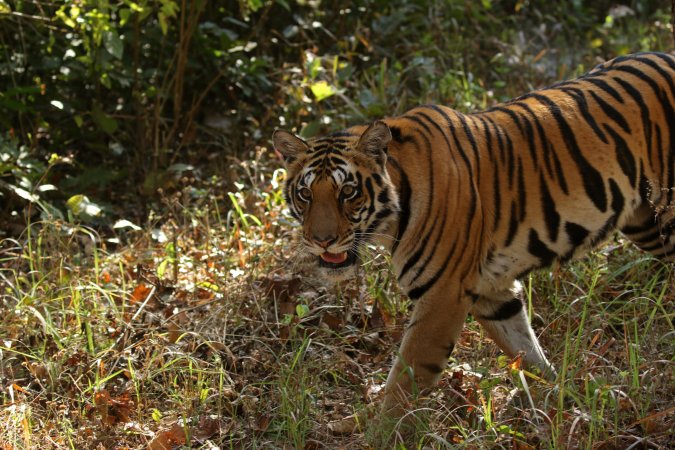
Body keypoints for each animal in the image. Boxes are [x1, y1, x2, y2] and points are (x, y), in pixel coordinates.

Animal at [270, 52, 675, 422]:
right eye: (305, 194)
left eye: (348, 192)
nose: (322, 240)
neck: (390, 219)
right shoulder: (491, 291)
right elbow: (526, 351)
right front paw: (559, 403)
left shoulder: (442, 297)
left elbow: (403, 385)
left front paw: (383, 435)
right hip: (644, 223)